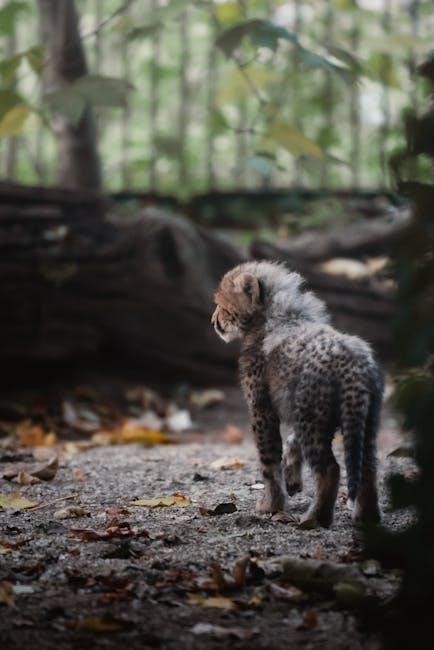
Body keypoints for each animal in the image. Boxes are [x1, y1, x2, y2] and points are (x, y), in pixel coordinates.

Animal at [211, 260, 383, 528]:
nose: (213, 320)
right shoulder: (295, 406)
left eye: (222, 304)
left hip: (313, 420)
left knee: (330, 469)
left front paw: (270, 505)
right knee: (368, 466)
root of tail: (353, 361)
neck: (276, 316)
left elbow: (269, 462)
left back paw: (315, 519)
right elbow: (292, 442)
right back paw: (367, 517)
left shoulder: (262, 409)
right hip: (363, 420)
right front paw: (291, 479)